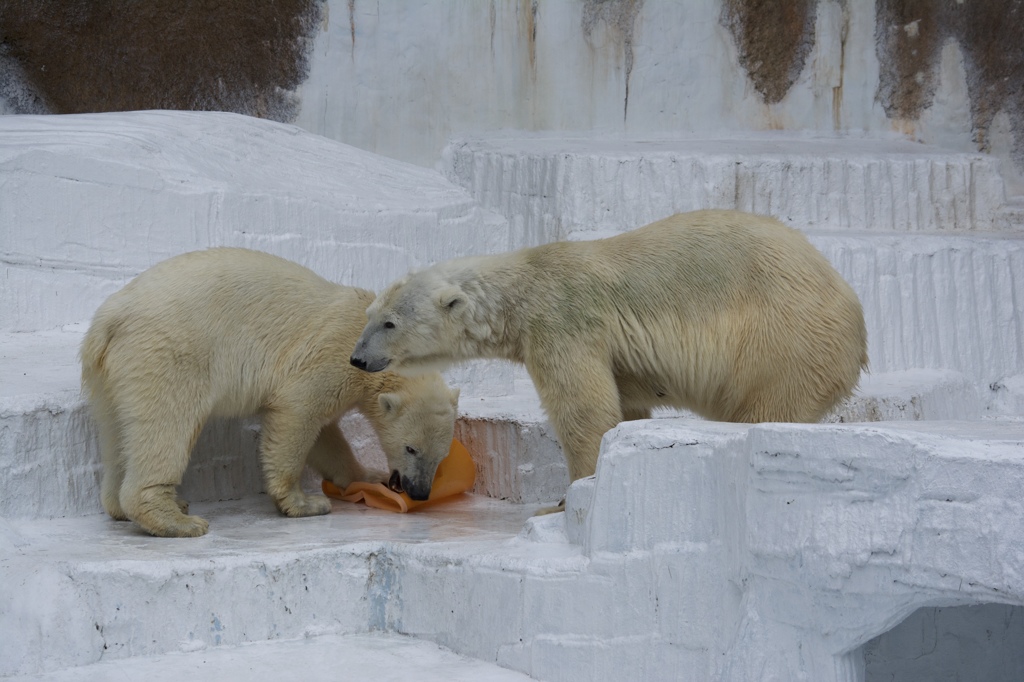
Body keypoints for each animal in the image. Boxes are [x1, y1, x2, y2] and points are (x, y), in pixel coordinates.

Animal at [81, 248, 458, 536]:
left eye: (441, 456)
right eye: (411, 448)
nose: (419, 492)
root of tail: (110, 317)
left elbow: (327, 438)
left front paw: (367, 475)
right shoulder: (330, 356)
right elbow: (297, 415)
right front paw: (306, 503)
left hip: (109, 372)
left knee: (118, 431)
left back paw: (125, 505)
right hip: (168, 352)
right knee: (167, 423)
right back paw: (177, 520)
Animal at [352, 206, 864, 489]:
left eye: (390, 322)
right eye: (370, 314)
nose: (358, 357)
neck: (523, 285)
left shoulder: (563, 320)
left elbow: (584, 411)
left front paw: (569, 496)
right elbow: (626, 402)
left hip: (784, 340)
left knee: (766, 405)